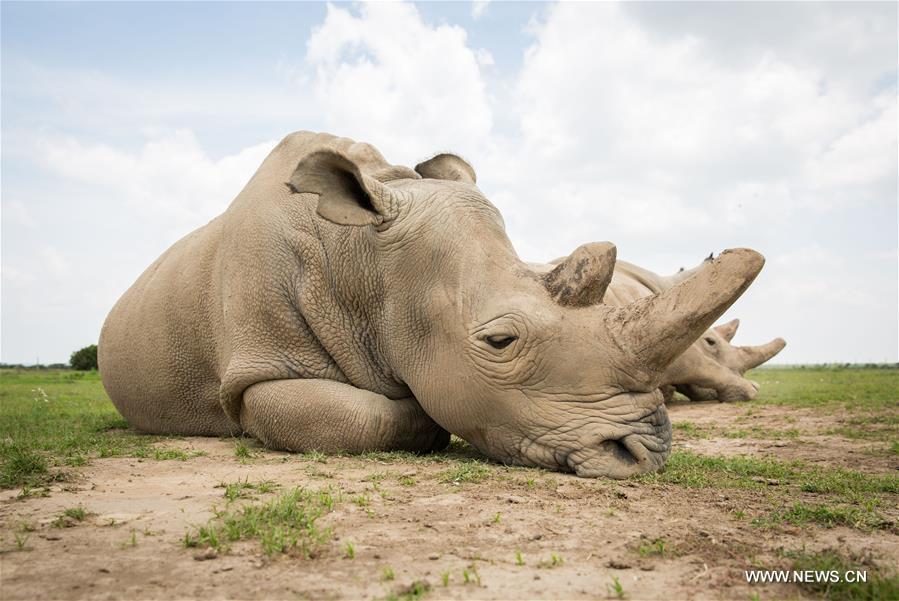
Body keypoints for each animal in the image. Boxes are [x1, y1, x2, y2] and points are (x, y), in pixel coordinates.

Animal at [99, 131, 765, 479]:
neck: (363, 257)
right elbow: (366, 416)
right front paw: (424, 420)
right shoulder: (257, 372)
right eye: (500, 341)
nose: (644, 456)